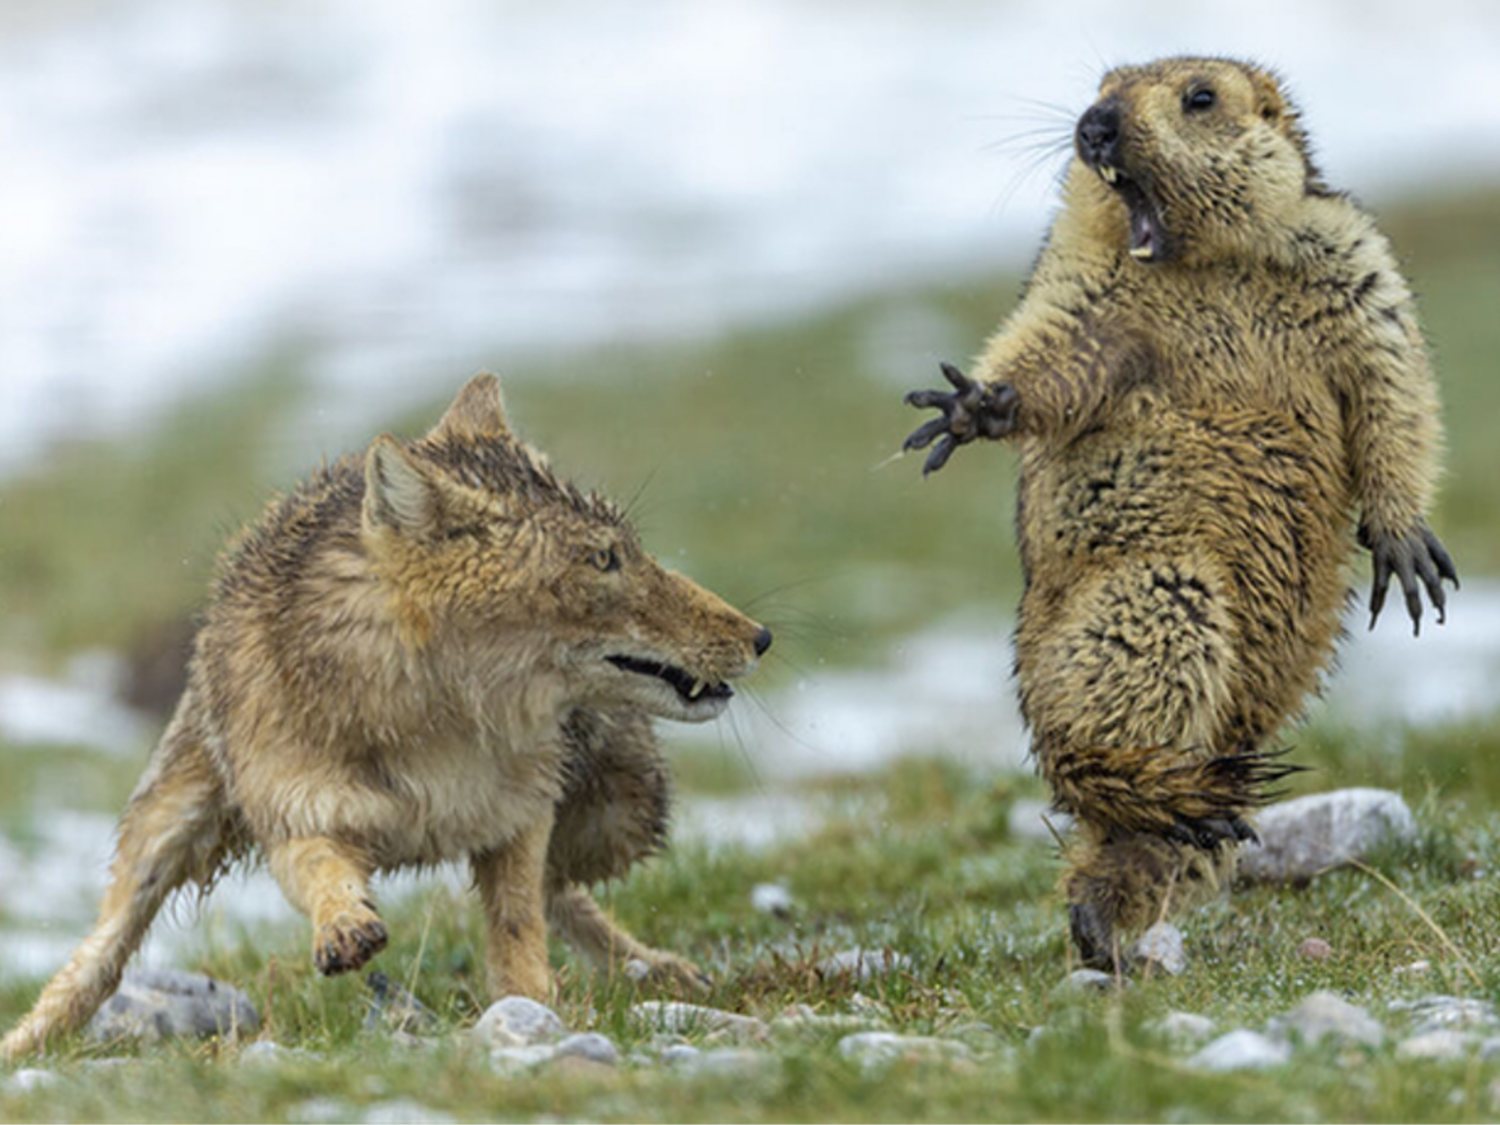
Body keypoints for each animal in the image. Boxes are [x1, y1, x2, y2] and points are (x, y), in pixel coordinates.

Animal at [2, 375, 774, 1062]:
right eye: (604, 560)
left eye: (627, 551)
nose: (761, 636)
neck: (434, 727)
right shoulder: (297, 816)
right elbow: (323, 872)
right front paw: (346, 927)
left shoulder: (519, 815)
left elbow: (519, 923)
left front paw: (535, 1008)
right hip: (165, 829)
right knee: (100, 957)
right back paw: (29, 1040)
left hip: (623, 813)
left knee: (564, 890)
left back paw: (657, 968)